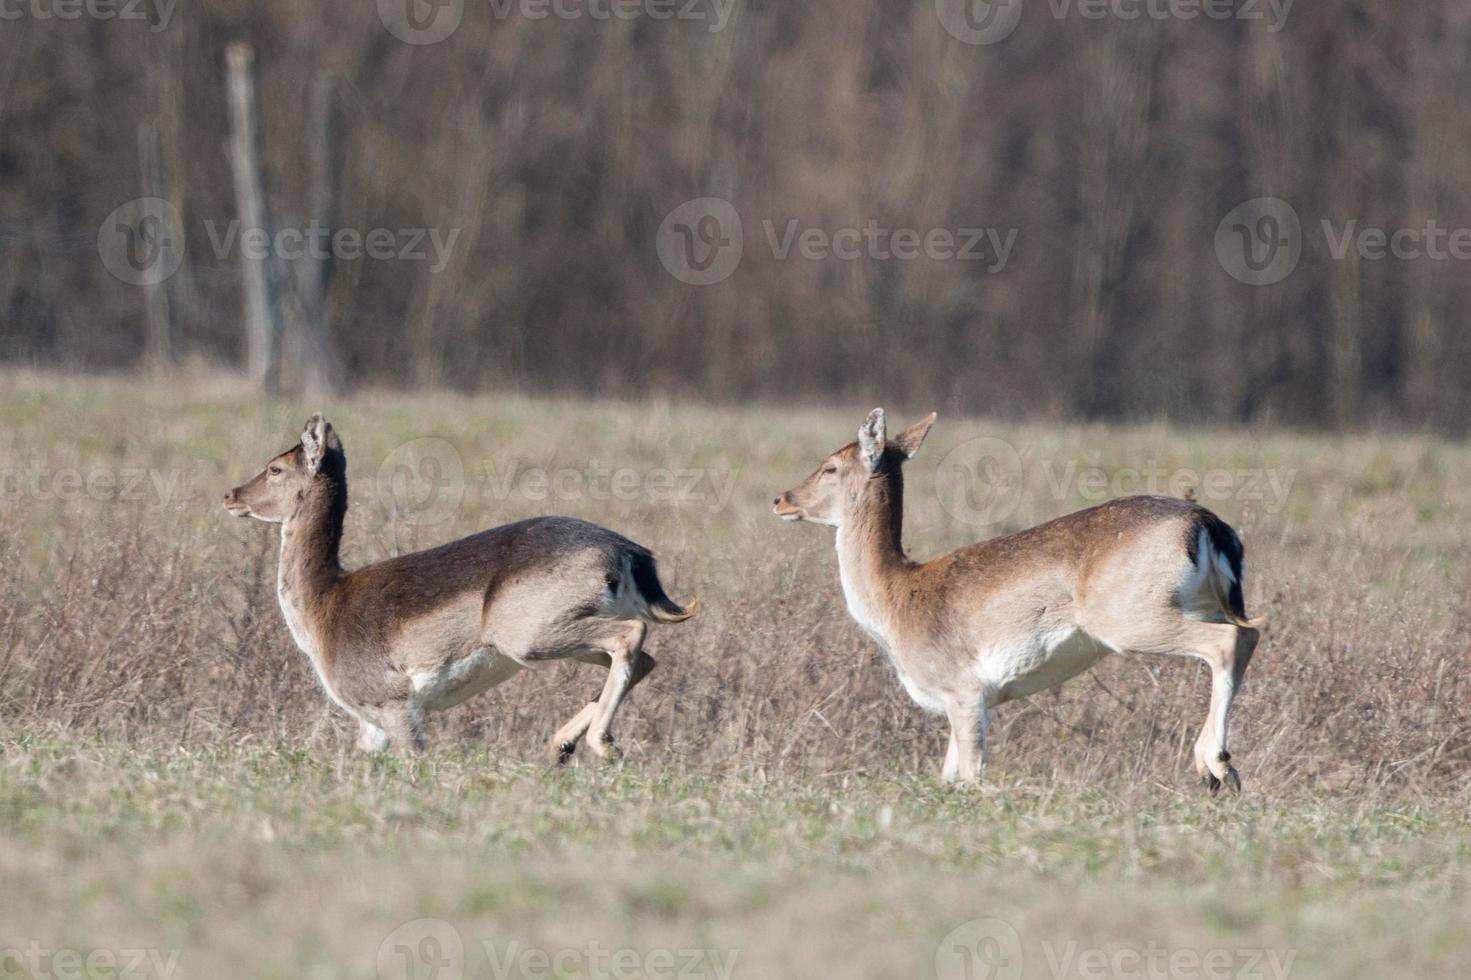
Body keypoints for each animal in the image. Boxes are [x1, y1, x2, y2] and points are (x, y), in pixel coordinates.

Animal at [223, 412, 694, 753]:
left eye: (275, 468)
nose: (231, 495)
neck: (322, 607)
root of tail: (631, 554)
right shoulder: (370, 726)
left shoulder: (393, 704)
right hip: (560, 636)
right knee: (644, 658)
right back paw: (561, 746)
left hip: (529, 635)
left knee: (632, 633)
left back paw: (601, 744)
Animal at [770, 409, 1265, 788]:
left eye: (830, 466)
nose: (781, 499)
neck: (895, 602)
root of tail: (1209, 525)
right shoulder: (978, 702)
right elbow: (948, 776)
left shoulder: (965, 690)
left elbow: (970, 776)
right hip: (1201, 602)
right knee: (1249, 630)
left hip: (1129, 618)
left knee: (1231, 640)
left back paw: (1215, 765)